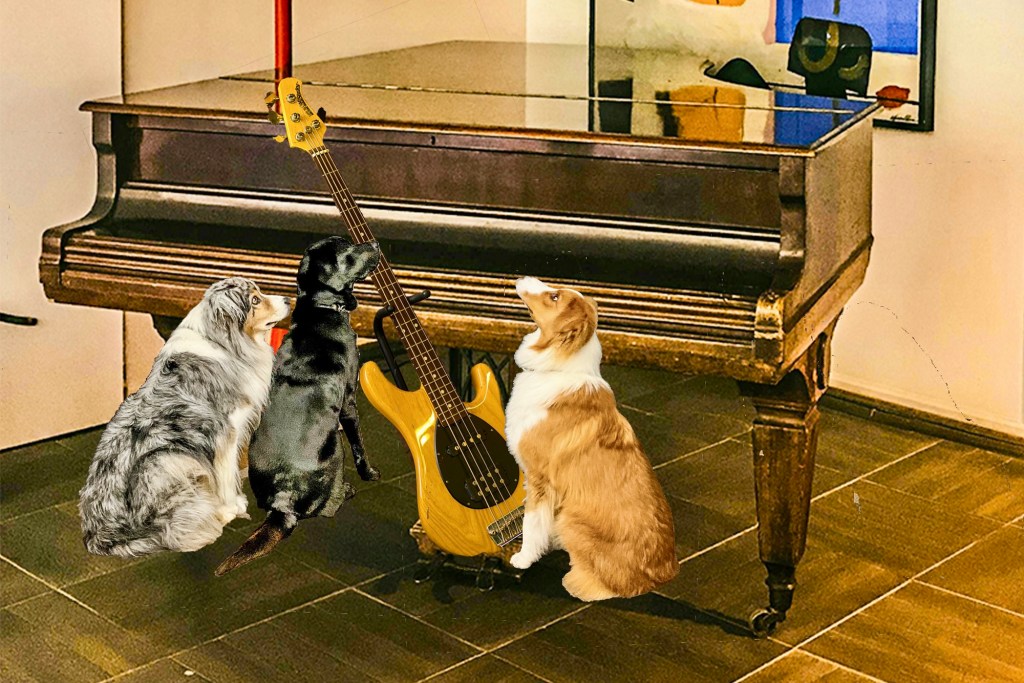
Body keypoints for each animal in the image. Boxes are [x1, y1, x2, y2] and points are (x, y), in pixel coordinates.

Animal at [79, 278, 291, 557]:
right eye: (255, 300)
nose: (288, 299)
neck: (220, 341)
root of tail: (99, 537)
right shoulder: (227, 431)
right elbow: (227, 474)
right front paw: (232, 506)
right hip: (168, 460)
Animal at [215, 237, 382, 575]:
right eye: (348, 252)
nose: (375, 243)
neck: (319, 308)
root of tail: (284, 498)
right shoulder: (349, 401)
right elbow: (360, 445)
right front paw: (370, 474)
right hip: (335, 449)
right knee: (329, 506)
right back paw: (346, 491)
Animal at [505, 276, 679, 601]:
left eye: (554, 297)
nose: (522, 278)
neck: (558, 367)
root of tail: (660, 578)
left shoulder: (538, 478)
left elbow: (530, 521)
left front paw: (523, 558)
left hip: (571, 517)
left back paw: (575, 581)